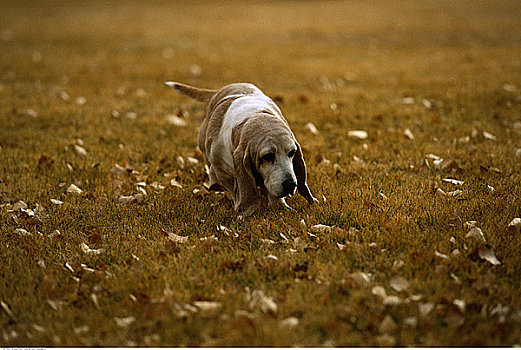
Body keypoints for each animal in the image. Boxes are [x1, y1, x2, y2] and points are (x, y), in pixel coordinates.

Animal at [167, 81, 314, 216]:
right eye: (268, 156)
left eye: (292, 152)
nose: (291, 184)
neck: (251, 118)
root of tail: (223, 89)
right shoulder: (222, 171)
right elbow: (234, 189)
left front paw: (279, 206)